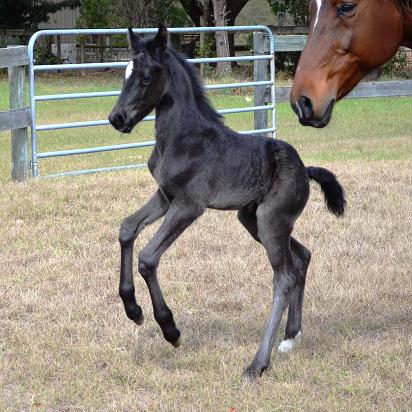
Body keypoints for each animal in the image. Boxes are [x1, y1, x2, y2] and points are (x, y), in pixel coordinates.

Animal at [107, 26, 344, 380]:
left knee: (284, 277)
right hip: (254, 220)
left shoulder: (189, 205)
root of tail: (305, 170)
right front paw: (133, 309)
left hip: (271, 222)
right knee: (302, 257)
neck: (181, 138)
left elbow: (148, 257)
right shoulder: (165, 196)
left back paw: (258, 364)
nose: (116, 118)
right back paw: (290, 337)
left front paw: (170, 329)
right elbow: (127, 228)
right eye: (125, 74)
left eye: (147, 76)